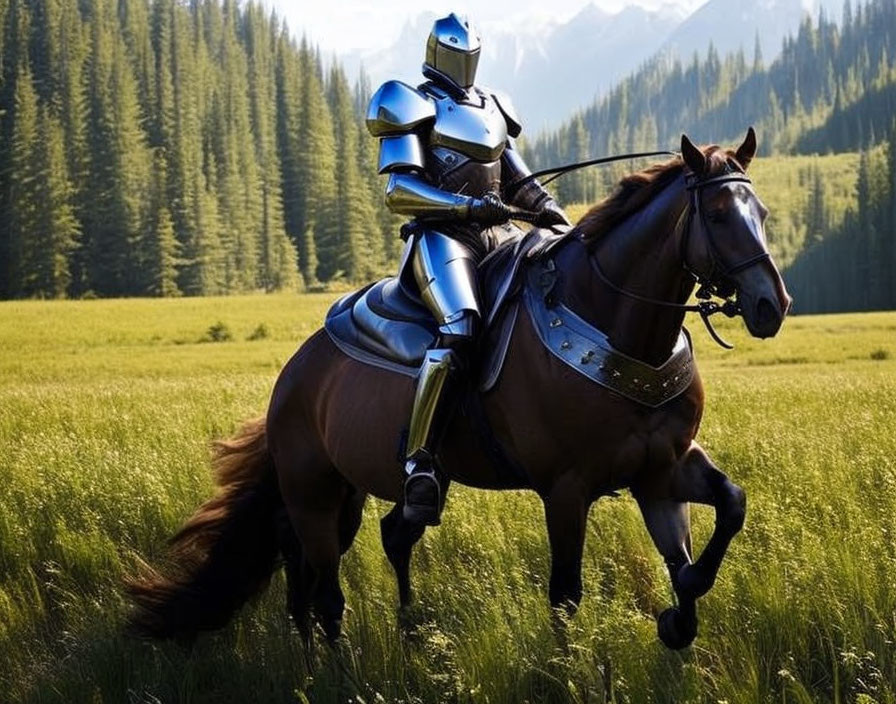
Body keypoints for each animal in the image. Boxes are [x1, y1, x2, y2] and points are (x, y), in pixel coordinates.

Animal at [128, 129, 792, 652]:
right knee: (324, 594)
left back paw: (405, 635)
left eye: (760, 211)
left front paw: (679, 618)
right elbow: (566, 595)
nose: (771, 305)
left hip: (364, 489)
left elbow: (721, 518)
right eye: (716, 215)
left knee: (376, 543)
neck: (616, 323)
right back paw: (337, 669)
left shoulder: (660, 470)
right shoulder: (567, 490)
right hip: (314, 495)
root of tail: (294, 377)